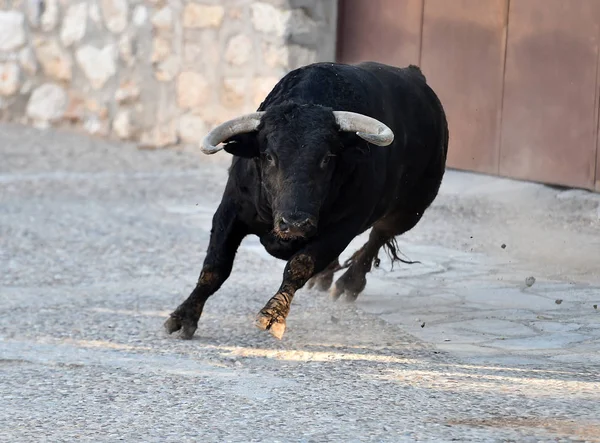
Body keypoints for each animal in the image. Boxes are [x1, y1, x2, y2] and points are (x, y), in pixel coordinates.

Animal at [162, 61, 448, 340]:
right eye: (269, 156)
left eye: (327, 158)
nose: (295, 224)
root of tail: (414, 74)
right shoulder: (230, 210)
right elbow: (215, 265)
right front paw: (183, 316)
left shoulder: (342, 227)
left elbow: (300, 264)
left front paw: (273, 315)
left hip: (410, 210)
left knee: (378, 236)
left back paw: (348, 284)